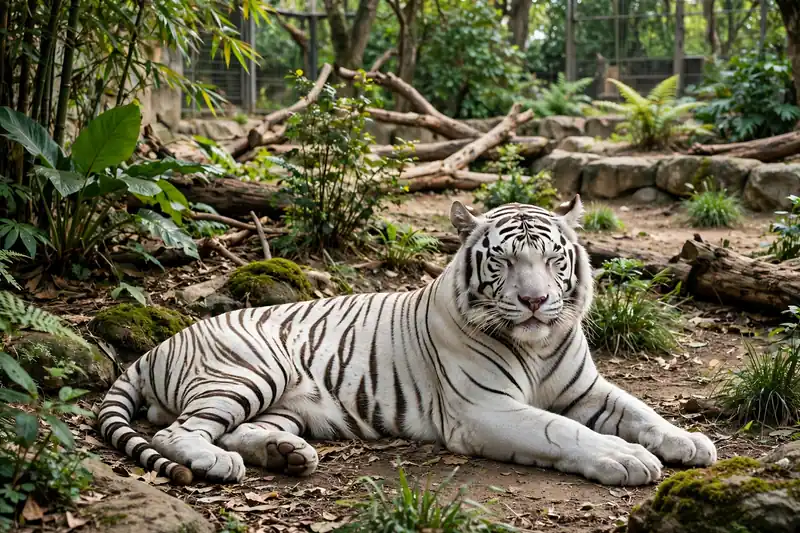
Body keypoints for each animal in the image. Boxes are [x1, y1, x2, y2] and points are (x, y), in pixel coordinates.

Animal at [97, 195, 717, 487]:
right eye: (504, 261)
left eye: (551, 260)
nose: (537, 301)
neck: (538, 346)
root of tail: (159, 344)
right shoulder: (484, 410)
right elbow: (561, 431)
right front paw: (625, 458)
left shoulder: (587, 389)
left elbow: (640, 410)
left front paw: (689, 442)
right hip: (247, 372)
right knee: (178, 431)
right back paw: (216, 462)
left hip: (286, 402)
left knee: (241, 430)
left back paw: (287, 454)